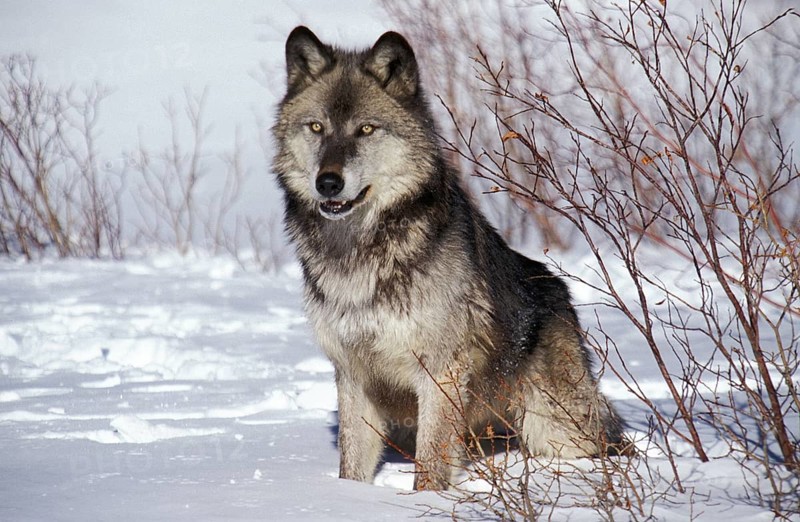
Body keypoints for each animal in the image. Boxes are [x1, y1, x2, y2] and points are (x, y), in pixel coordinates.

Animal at [272, 26, 625, 490]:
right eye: (316, 127)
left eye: (366, 129)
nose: (327, 182)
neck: (359, 250)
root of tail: (559, 292)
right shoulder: (352, 376)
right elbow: (352, 465)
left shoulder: (440, 372)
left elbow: (431, 465)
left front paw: (425, 500)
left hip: (557, 428)